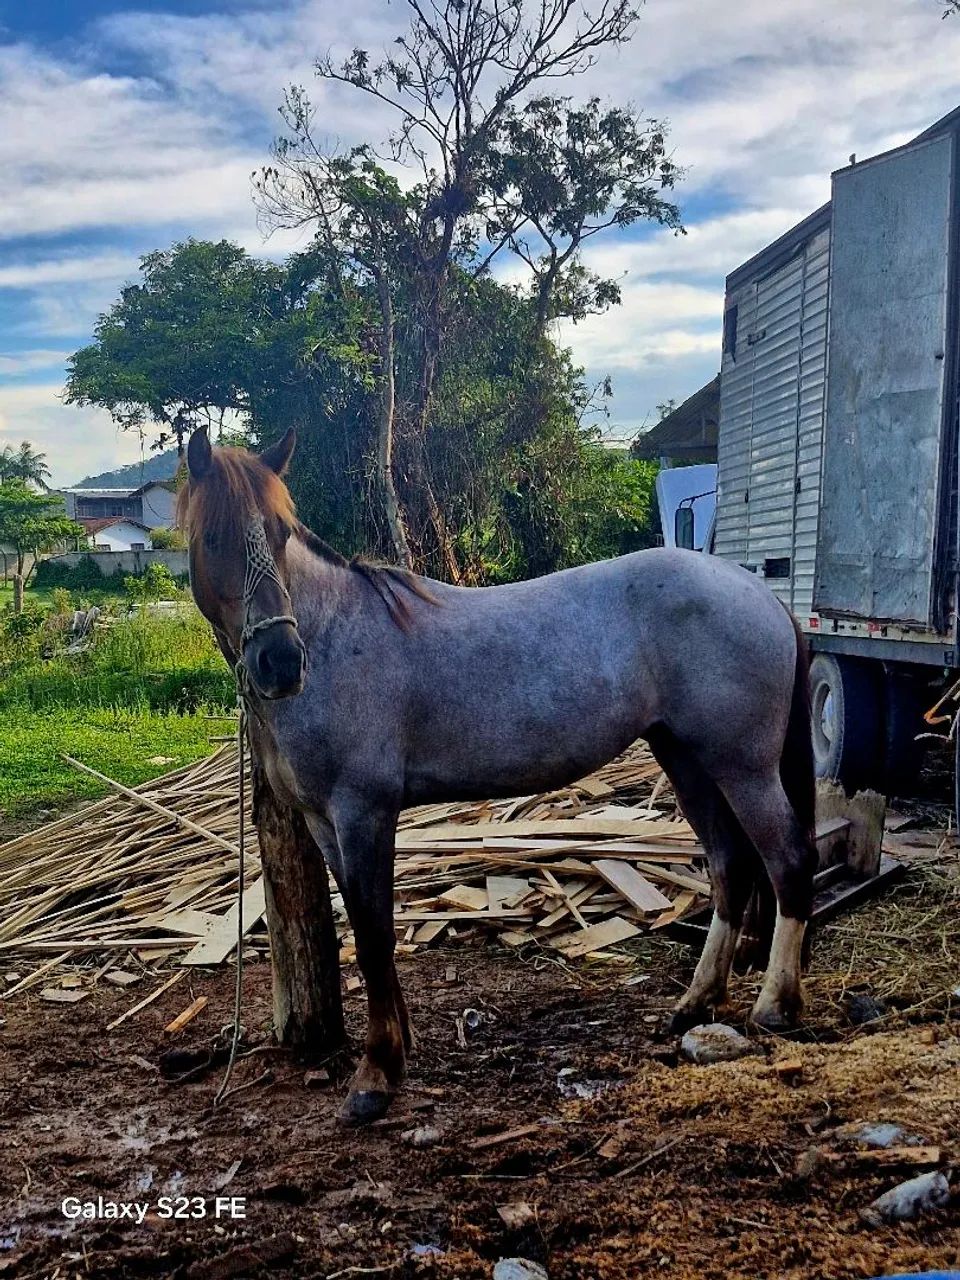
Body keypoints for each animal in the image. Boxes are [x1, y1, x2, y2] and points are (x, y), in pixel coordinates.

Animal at [178, 425, 817, 1124]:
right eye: (214, 538)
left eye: (280, 533)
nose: (280, 661)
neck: (334, 635)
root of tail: (758, 594)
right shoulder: (324, 822)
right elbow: (368, 927)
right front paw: (399, 1044)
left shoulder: (363, 812)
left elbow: (373, 935)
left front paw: (376, 1074)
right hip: (687, 761)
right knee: (731, 867)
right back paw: (693, 1005)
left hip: (743, 766)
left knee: (787, 861)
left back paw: (776, 1006)